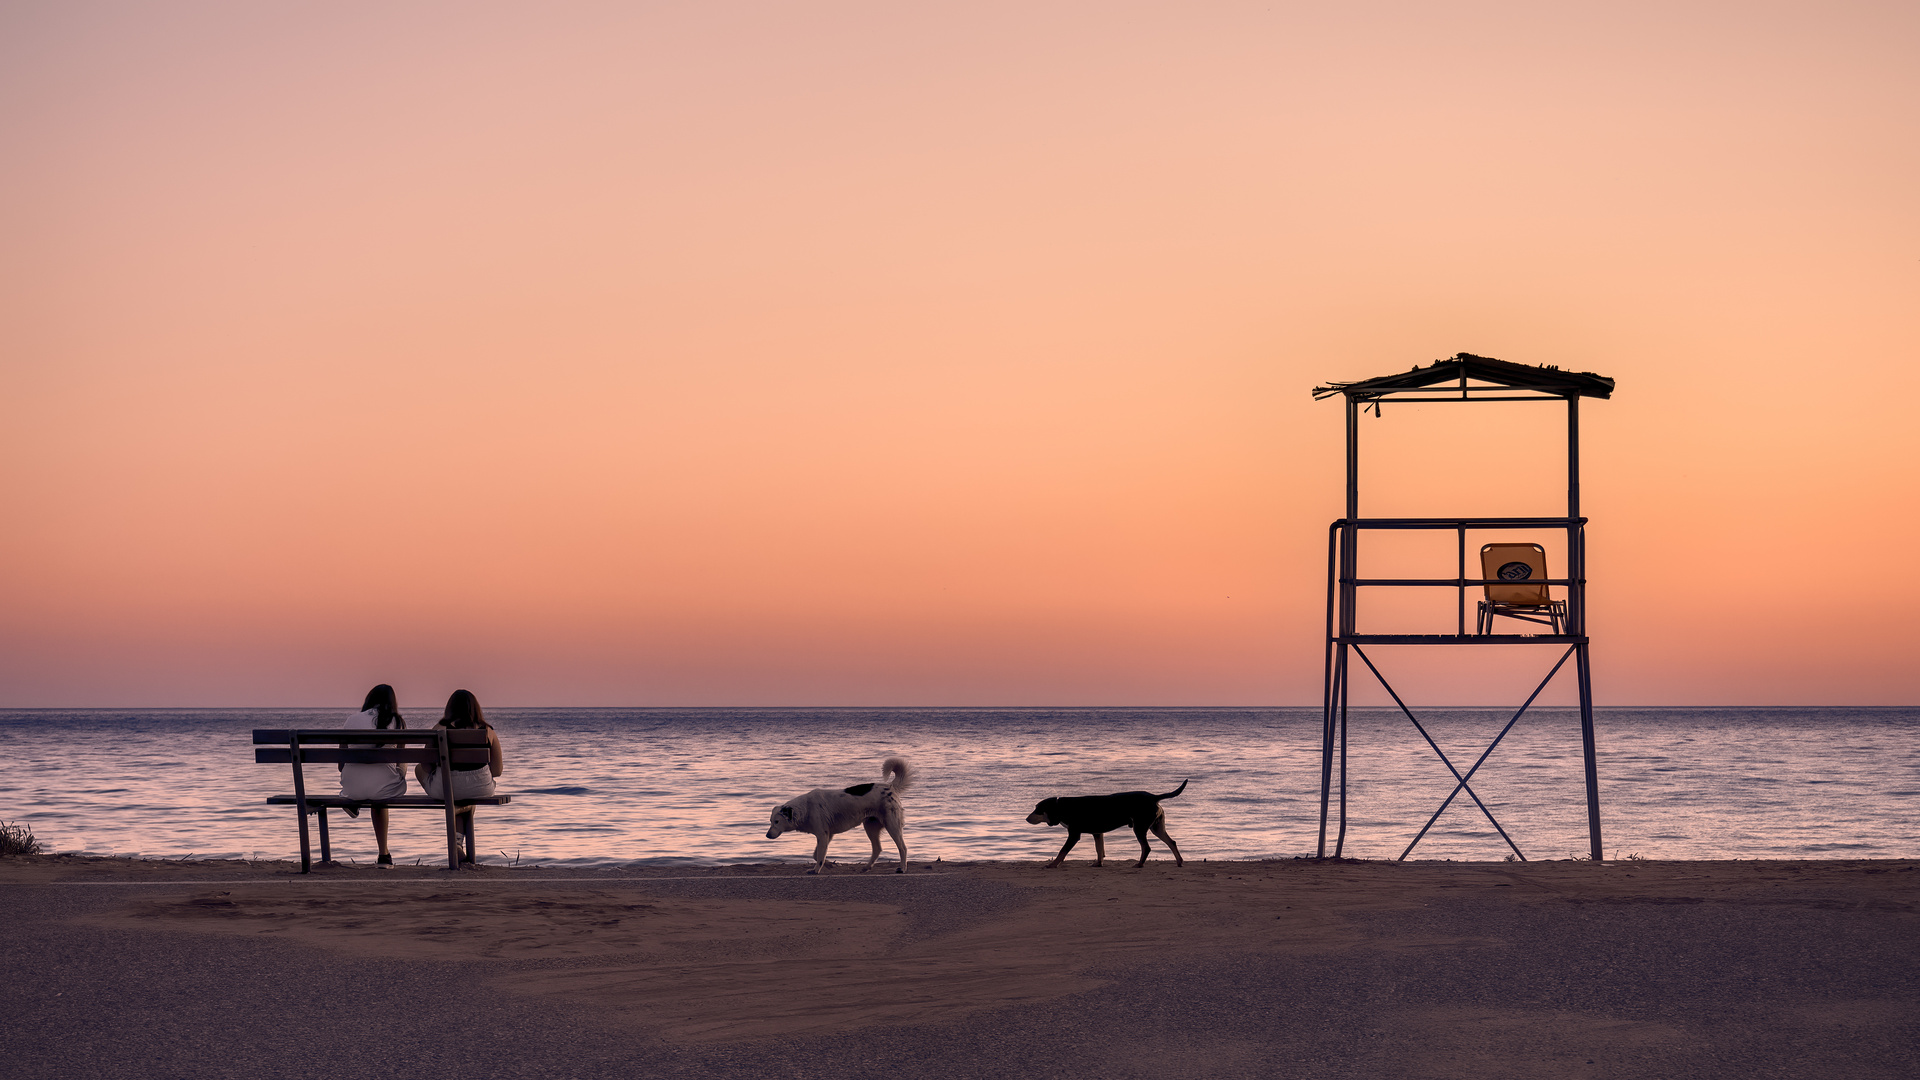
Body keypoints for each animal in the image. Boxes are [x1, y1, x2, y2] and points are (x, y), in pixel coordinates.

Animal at [764, 753, 913, 868]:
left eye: (776, 822)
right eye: (770, 821)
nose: (767, 835)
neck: (805, 808)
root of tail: (890, 787)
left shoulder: (823, 835)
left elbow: (819, 856)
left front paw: (816, 870)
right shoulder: (827, 835)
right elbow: (816, 855)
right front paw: (831, 864)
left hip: (892, 825)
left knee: (902, 847)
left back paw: (902, 868)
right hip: (871, 826)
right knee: (877, 848)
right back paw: (867, 867)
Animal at [1029, 772, 1175, 864]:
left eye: (1038, 810)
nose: (1026, 819)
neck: (1061, 807)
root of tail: (1153, 797)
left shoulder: (1074, 834)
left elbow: (1062, 852)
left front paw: (1052, 865)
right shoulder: (1097, 833)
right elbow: (1099, 849)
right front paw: (1098, 863)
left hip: (1140, 827)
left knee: (1146, 848)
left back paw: (1139, 865)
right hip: (1156, 827)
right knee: (1172, 842)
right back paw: (1178, 862)